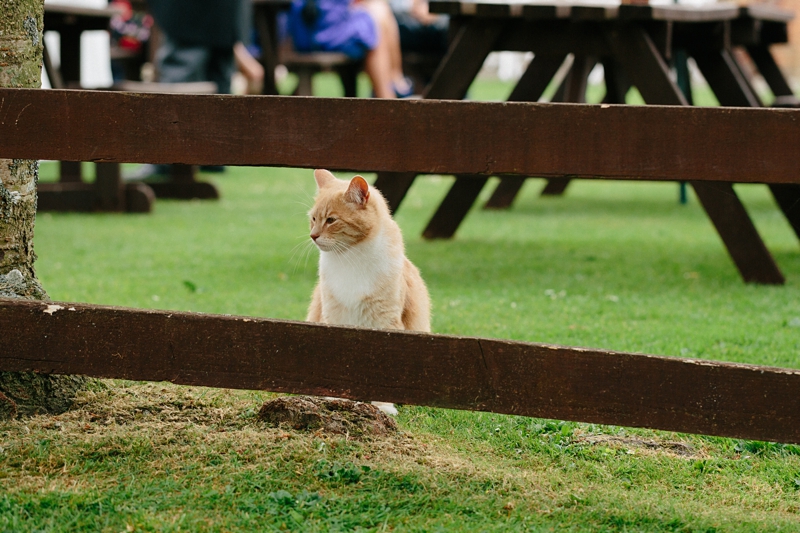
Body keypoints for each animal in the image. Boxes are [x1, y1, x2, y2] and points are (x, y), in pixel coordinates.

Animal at [306, 168, 432, 414]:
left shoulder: (386, 320)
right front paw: (336, 398)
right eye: (313, 219)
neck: (350, 257)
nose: (313, 236)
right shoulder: (335, 317)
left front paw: (383, 405)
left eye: (331, 220)